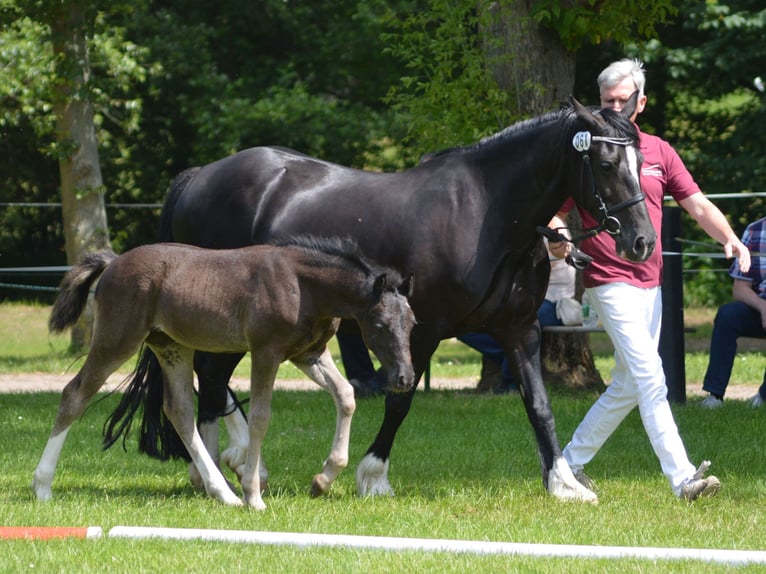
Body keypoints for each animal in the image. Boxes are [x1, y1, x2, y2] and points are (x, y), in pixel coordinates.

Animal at [111, 97, 656, 506]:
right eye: (607, 164)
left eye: (642, 165)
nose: (643, 242)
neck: (487, 214)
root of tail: (200, 176)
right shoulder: (425, 329)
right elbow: (401, 397)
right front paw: (371, 476)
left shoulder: (520, 329)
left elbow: (539, 404)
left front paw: (563, 483)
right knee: (211, 379)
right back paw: (220, 473)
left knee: (214, 382)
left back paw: (235, 466)